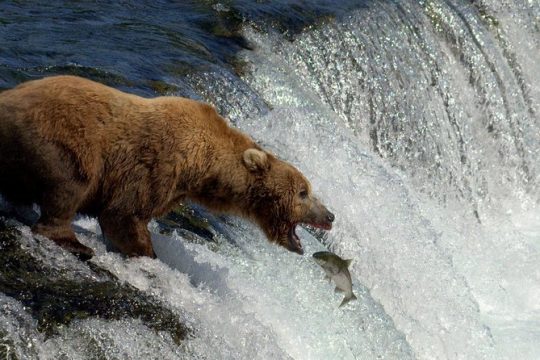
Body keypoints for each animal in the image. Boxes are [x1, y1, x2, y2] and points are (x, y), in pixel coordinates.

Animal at [0, 76, 334, 260]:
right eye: (303, 192)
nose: (330, 216)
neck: (204, 168)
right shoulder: (157, 164)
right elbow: (123, 214)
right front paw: (147, 252)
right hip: (58, 138)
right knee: (70, 184)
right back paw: (74, 243)